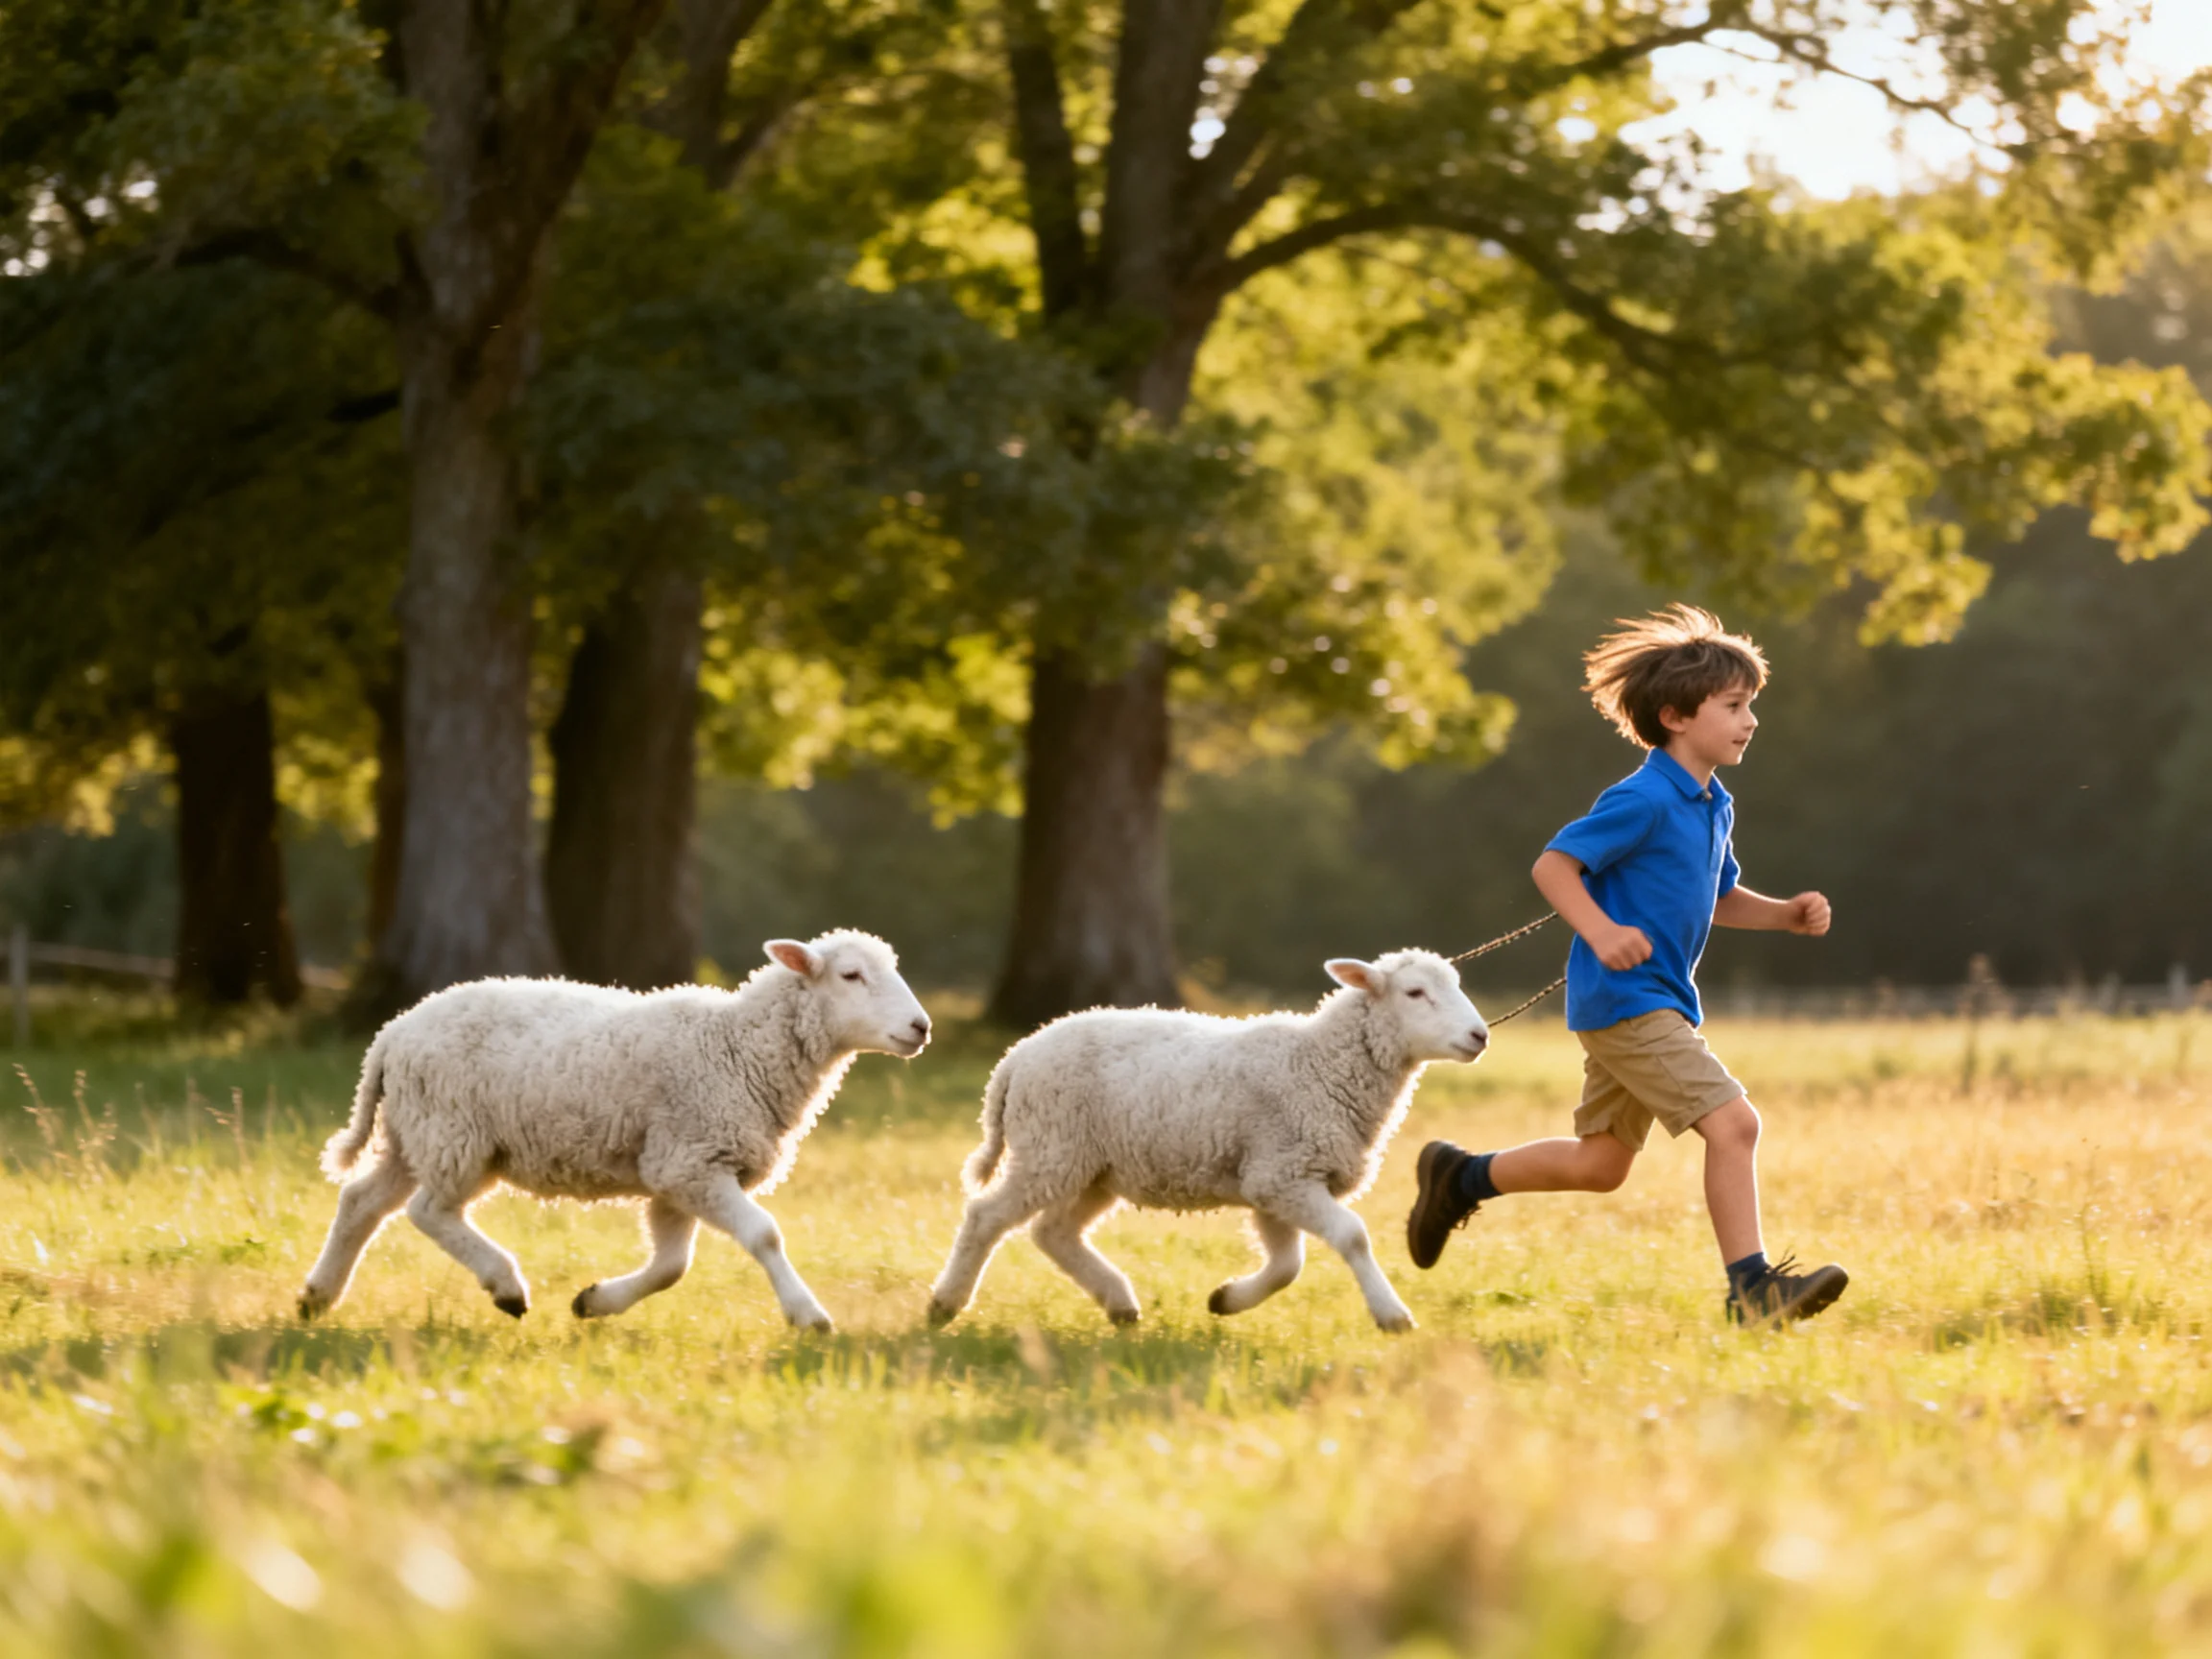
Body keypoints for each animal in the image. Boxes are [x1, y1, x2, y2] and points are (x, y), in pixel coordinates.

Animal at [297, 931, 929, 1331]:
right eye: (851, 975)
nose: (920, 1027)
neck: (737, 1047)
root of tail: (392, 1034)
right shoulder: (691, 1159)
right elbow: (764, 1236)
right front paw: (808, 1315)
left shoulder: (674, 1175)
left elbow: (672, 1268)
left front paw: (596, 1302)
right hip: (456, 1131)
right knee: (428, 1212)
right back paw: (505, 1285)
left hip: (415, 1134)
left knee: (362, 1202)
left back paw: (317, 1297)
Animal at [927, 950, 1488, 1333]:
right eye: (1414, 993)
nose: (1480, 1036)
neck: (1320, 1065)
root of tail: (1014, 1060)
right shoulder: (1282, 1173)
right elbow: (1351, 1237)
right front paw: (1392, 1315)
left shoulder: (1270, 1181)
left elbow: (1286, 1267)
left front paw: (1226, 1300)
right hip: (1051, 1148)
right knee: (986, 1217)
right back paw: (945, 1304)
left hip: (1094, 1166)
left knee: (1054, 1232)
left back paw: (1119, 1303)